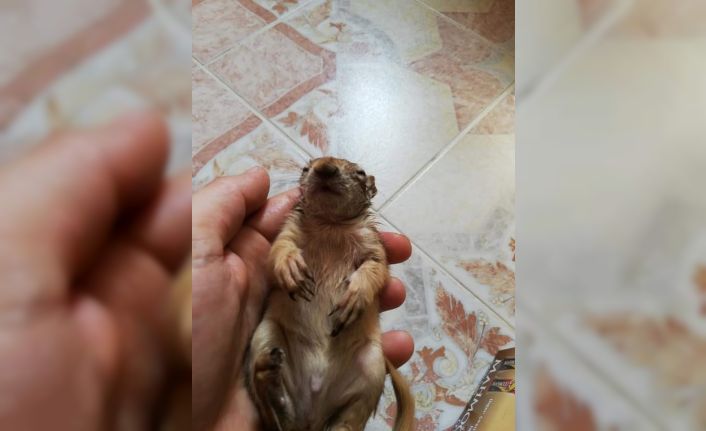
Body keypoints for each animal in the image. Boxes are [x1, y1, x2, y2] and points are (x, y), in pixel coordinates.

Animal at [246, 157, 414, 431]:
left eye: (360, 173)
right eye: (306, 168)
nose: (325, 167)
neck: (330, 224)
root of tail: (311, 419)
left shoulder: (375, 246)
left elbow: (376, 269)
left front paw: (355, 297)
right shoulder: (287, 230)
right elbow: (280, 248)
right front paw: (290, 267)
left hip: (372, 368)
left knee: (349, 420)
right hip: (266, 335)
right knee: (271, 413)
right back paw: (268, 376)